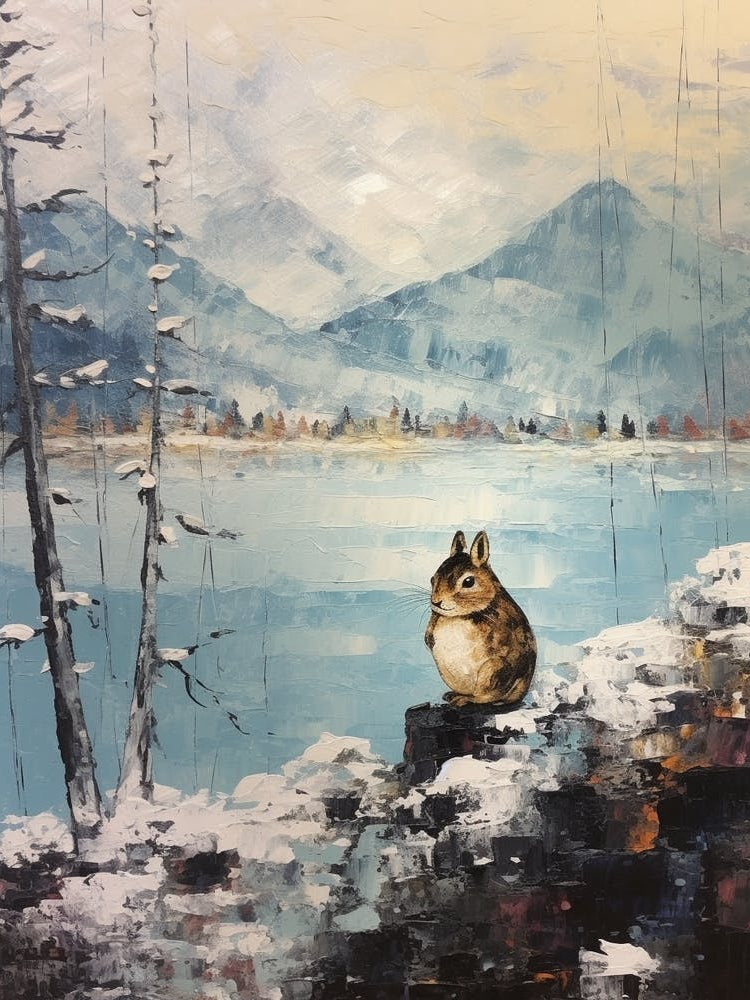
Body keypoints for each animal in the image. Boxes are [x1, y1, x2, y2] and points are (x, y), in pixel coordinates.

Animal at [424, 530, 537, 707]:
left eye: (468, 582)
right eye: (432, 579)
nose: (436, 602)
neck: (461, 615)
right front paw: (428, 639)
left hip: (492, 671)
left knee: (489, 696)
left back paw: (464, 699)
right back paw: (452, 695)